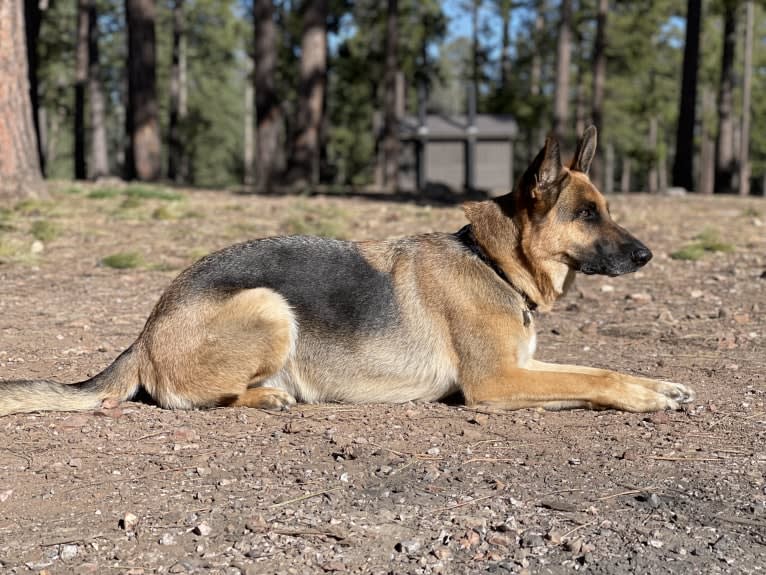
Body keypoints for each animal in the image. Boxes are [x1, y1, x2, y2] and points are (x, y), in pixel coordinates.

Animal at [0, 127, 696, 414]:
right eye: (587, 214)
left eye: (607, 209)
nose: (647, 256)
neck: (492, 264)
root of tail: (145, 332)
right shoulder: (496, 384)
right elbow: (597, 380)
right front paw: (646, 398)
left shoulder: (523, 367)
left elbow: (598, 369)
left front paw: (661, 385)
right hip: (269, 306)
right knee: (187, 399)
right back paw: (269, 395)